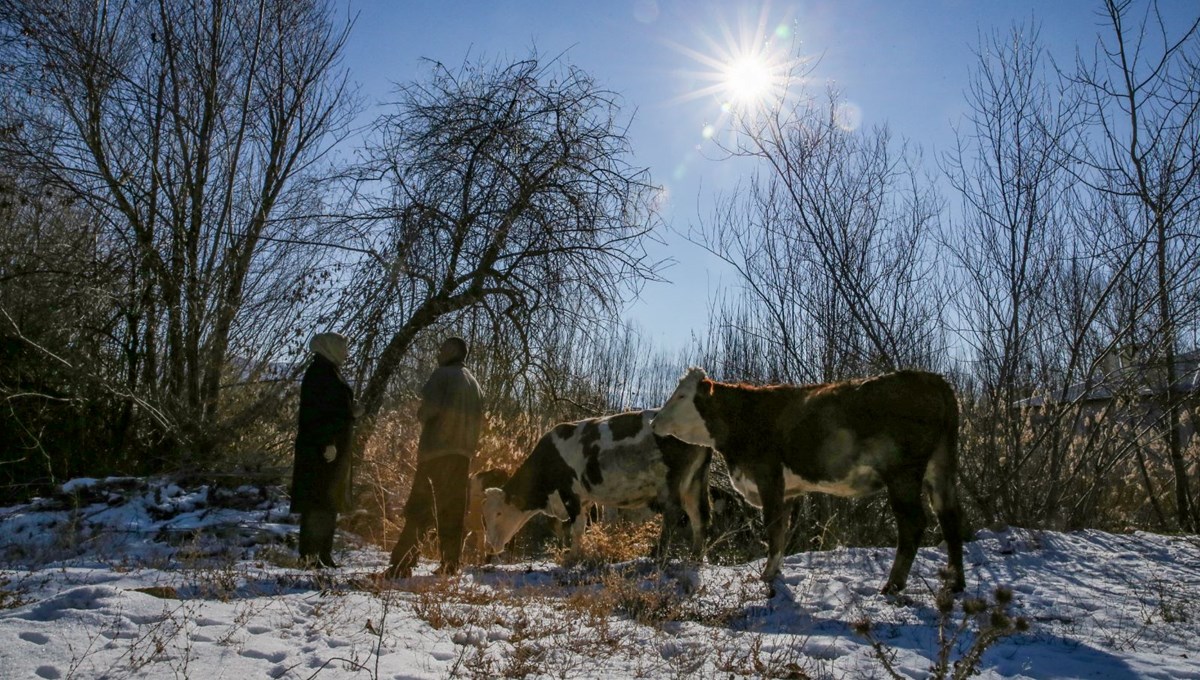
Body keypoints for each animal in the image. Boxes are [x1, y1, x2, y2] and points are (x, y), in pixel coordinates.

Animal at [482, 412, 710, 561]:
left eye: (499, 513)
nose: (490, 545)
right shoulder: (584, 499)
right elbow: (581, 527)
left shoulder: (569, 492)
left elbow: (576, 528)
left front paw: (572, 557)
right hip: (695, 483)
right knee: (698, 515)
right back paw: (696, 556)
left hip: (671, 483)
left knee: (673, 514)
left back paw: (659, 553)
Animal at [648, 366, 964, 594]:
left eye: (681, 396)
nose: (653, 421)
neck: (744, 419)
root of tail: (931, 379)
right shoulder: (788, 490)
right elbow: (784, 529)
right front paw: (775, 570)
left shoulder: (768, 477)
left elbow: (773, 527)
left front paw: (767, 575)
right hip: (941, 467)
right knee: (950, 518)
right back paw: (955, 583)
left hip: (903, 474)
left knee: (913, 523)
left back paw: (893, 585)